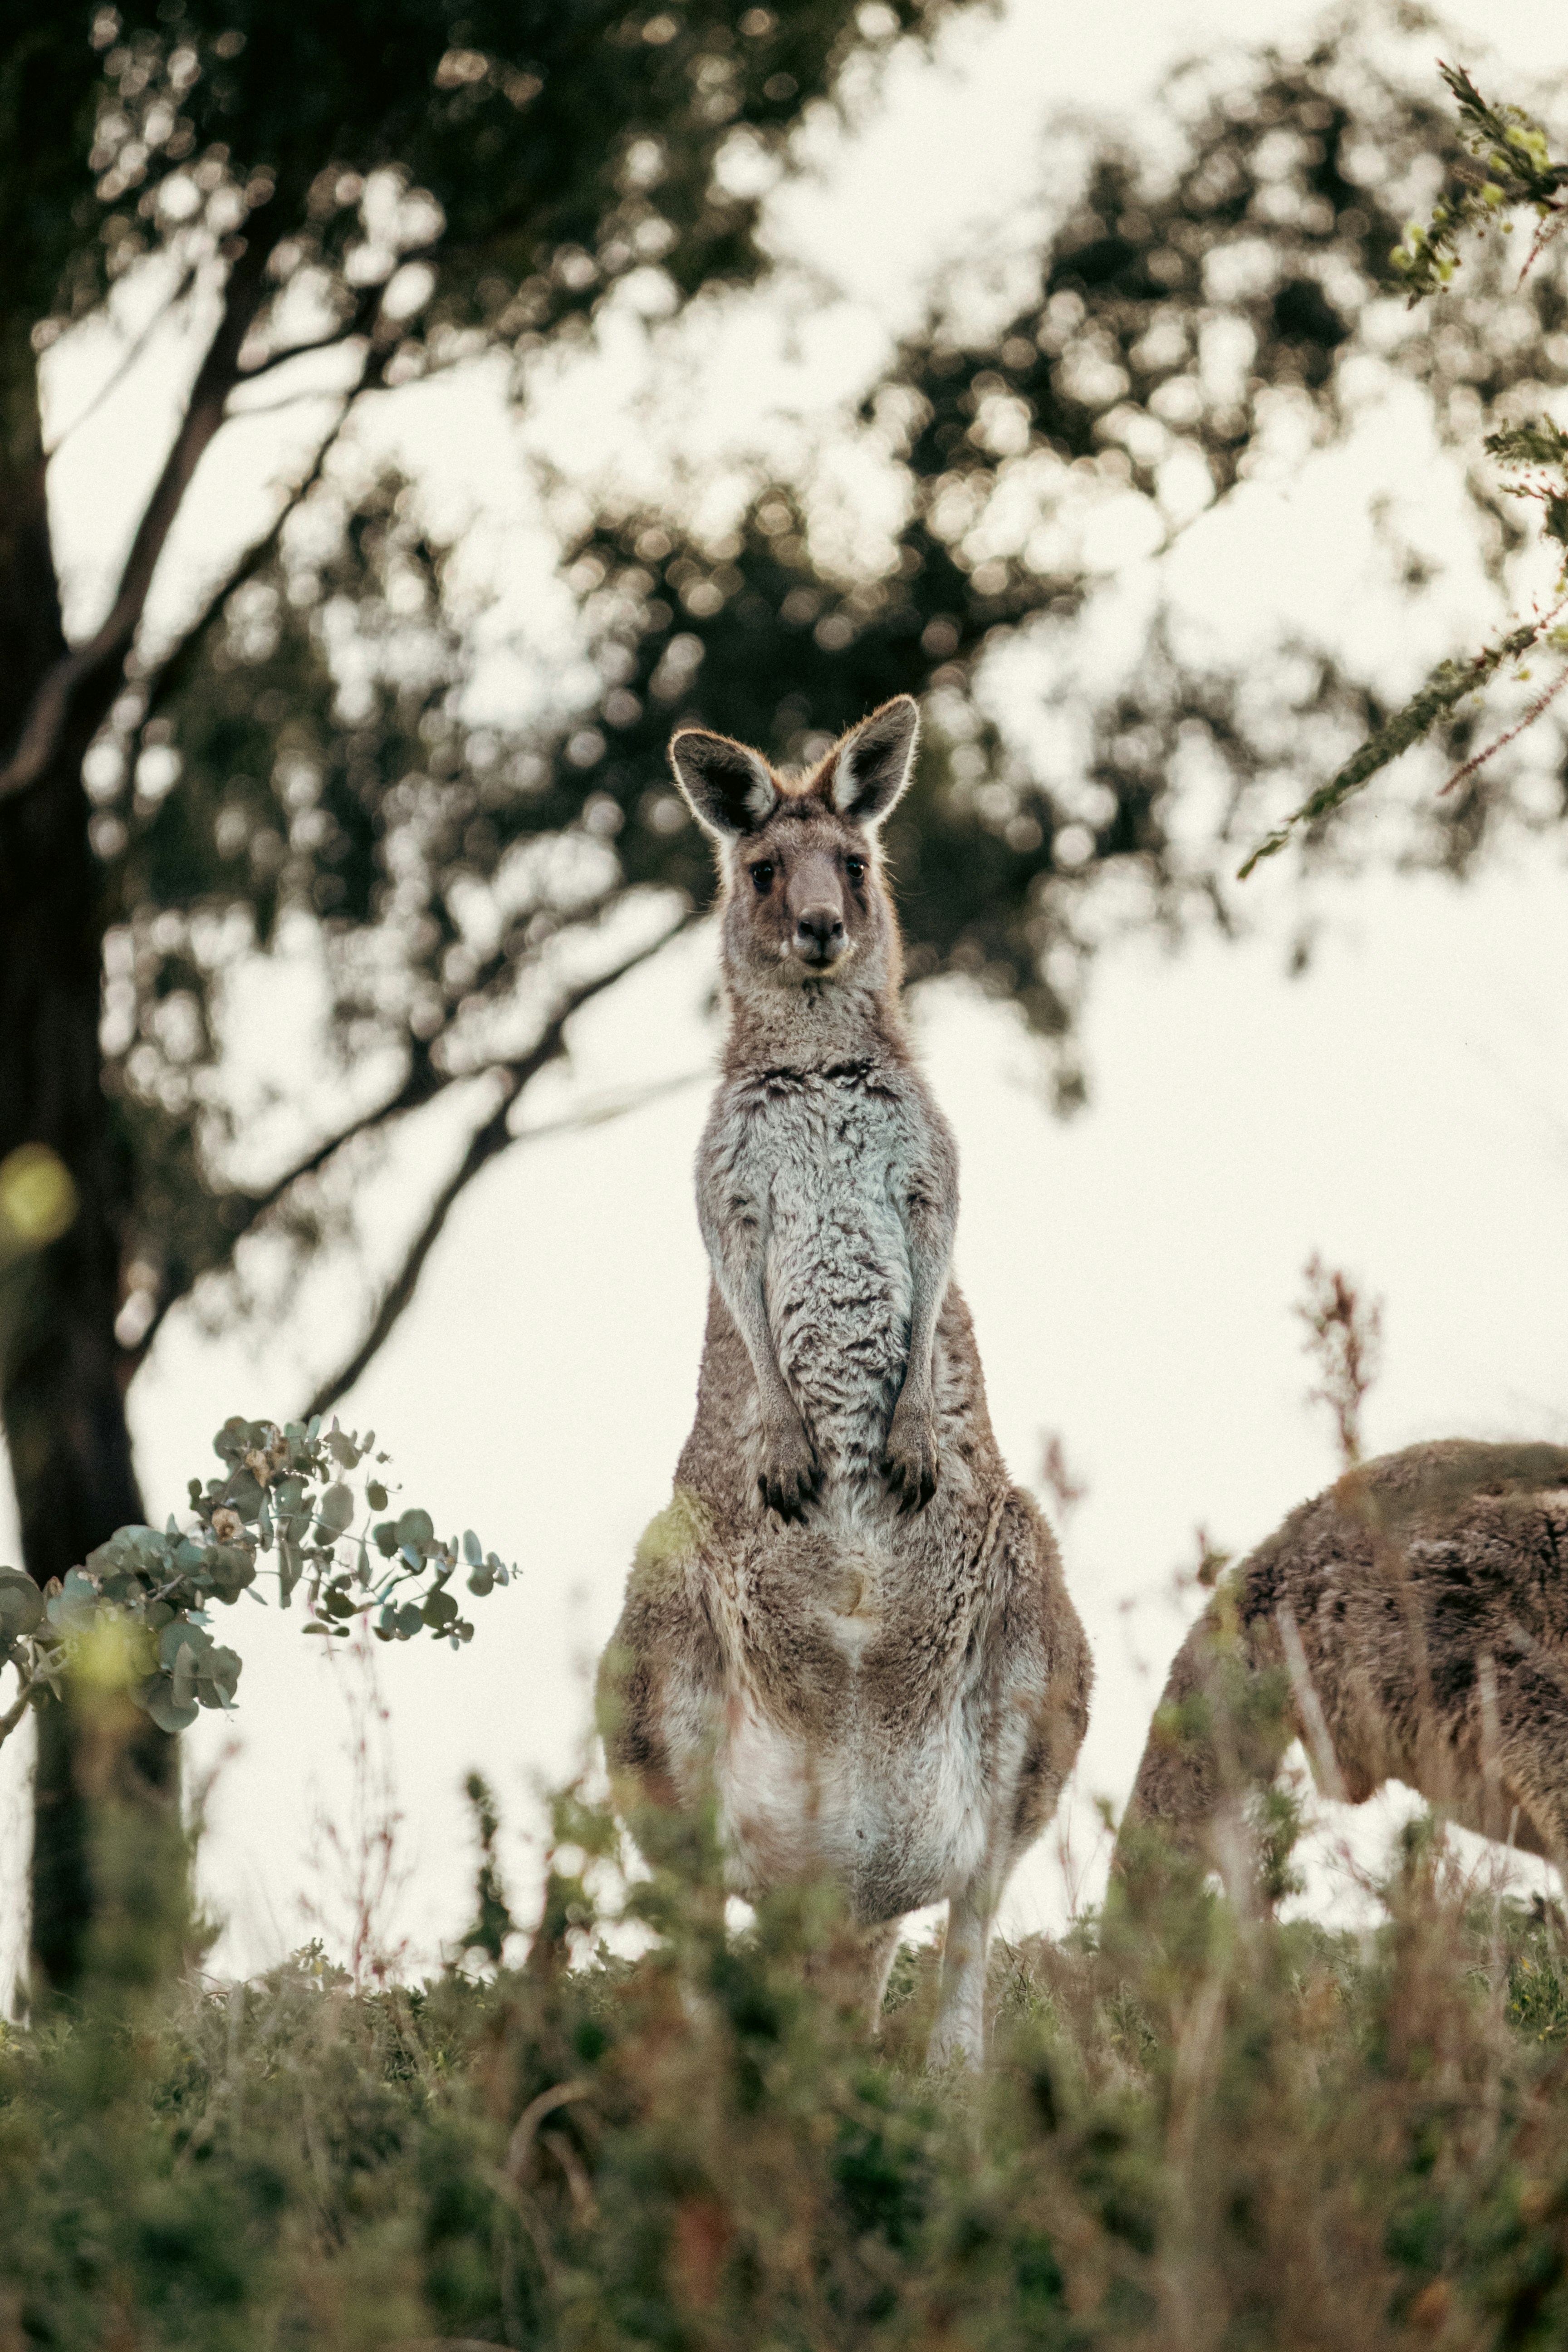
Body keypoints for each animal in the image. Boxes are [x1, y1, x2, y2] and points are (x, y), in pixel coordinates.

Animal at [597, 695, 1091, 2068]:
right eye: (766, 870)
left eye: (857, 865)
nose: (820, 927)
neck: (818, 1055)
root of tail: (847, 1874)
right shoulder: (726, 1181)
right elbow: (746, 1298)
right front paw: (785, 1442)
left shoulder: (928, 1167)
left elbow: (931, 1278)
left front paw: (909, 1432)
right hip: (660, 1658)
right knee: (702, 1921)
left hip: (1034, 1651)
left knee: (974, 1906)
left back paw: (949, 2086)